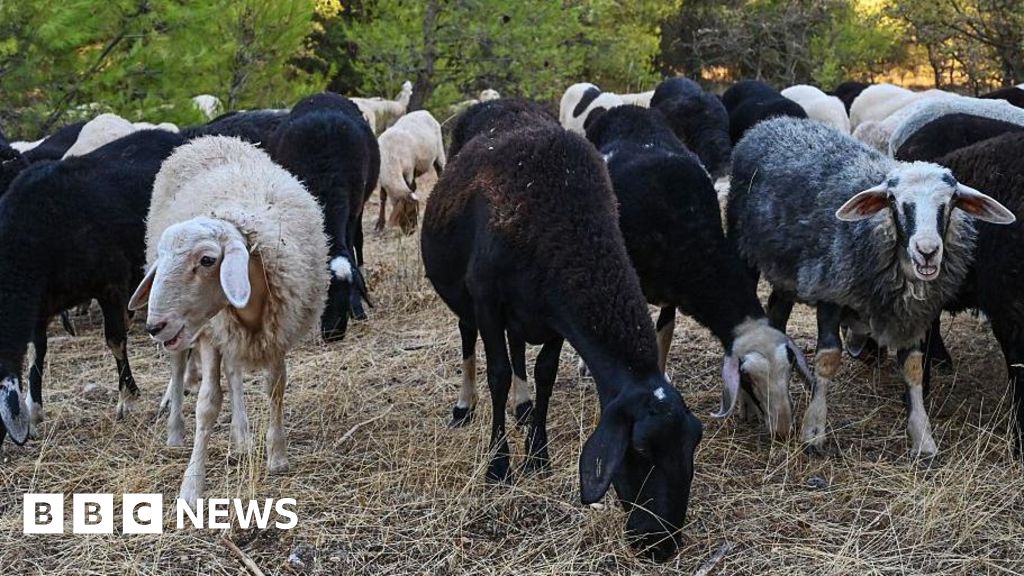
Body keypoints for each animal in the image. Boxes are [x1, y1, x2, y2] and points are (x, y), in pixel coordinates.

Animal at [0, 129, 185, 447]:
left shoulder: (110, 283)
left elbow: (115, 340)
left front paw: (128, 399)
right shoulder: (40, 304)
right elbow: (38, 352)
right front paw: (34, 410)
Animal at [128, 135, 330, 505]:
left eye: (208, 260)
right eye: (161, 258)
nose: (153, 327)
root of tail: (206, 139)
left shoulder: (276, 330)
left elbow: (275, 387)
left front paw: (276, 455)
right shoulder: (211, 334)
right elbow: (207, 404)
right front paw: (191, 486)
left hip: (228, 335)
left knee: (234, 372)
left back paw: (241, 436)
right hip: (193, 335)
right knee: (179, 367)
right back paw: (175, 433)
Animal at [421, 123, 702, 562]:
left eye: (693, 445)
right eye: (639, 450)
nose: (661, 545)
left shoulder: (553, 316)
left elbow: (545, 375)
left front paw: (538, 456)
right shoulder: (487, 300)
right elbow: (498, 374)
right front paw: (499, 467)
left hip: (522, 316)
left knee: (519, 351)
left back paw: (522, 410)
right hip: (466, 301)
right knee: (470, 341)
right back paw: (465, 407)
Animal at [585, 105, 814, 438]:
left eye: (789, 370)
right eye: (748, 378)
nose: (782, 430)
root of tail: (623, 108)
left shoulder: (671, 294)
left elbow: (664, 337)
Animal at [728, 117, 1014, 456]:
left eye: (951, 201)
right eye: (894, 201)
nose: (927, 251)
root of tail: (771, 123)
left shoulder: (913, 314)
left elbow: (914, 368)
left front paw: (923, 439)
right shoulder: (830, 290)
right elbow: (828, 359)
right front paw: (813, 432)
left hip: (787, 271)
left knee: (776, 314)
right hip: (743, 249)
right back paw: (749, 404)